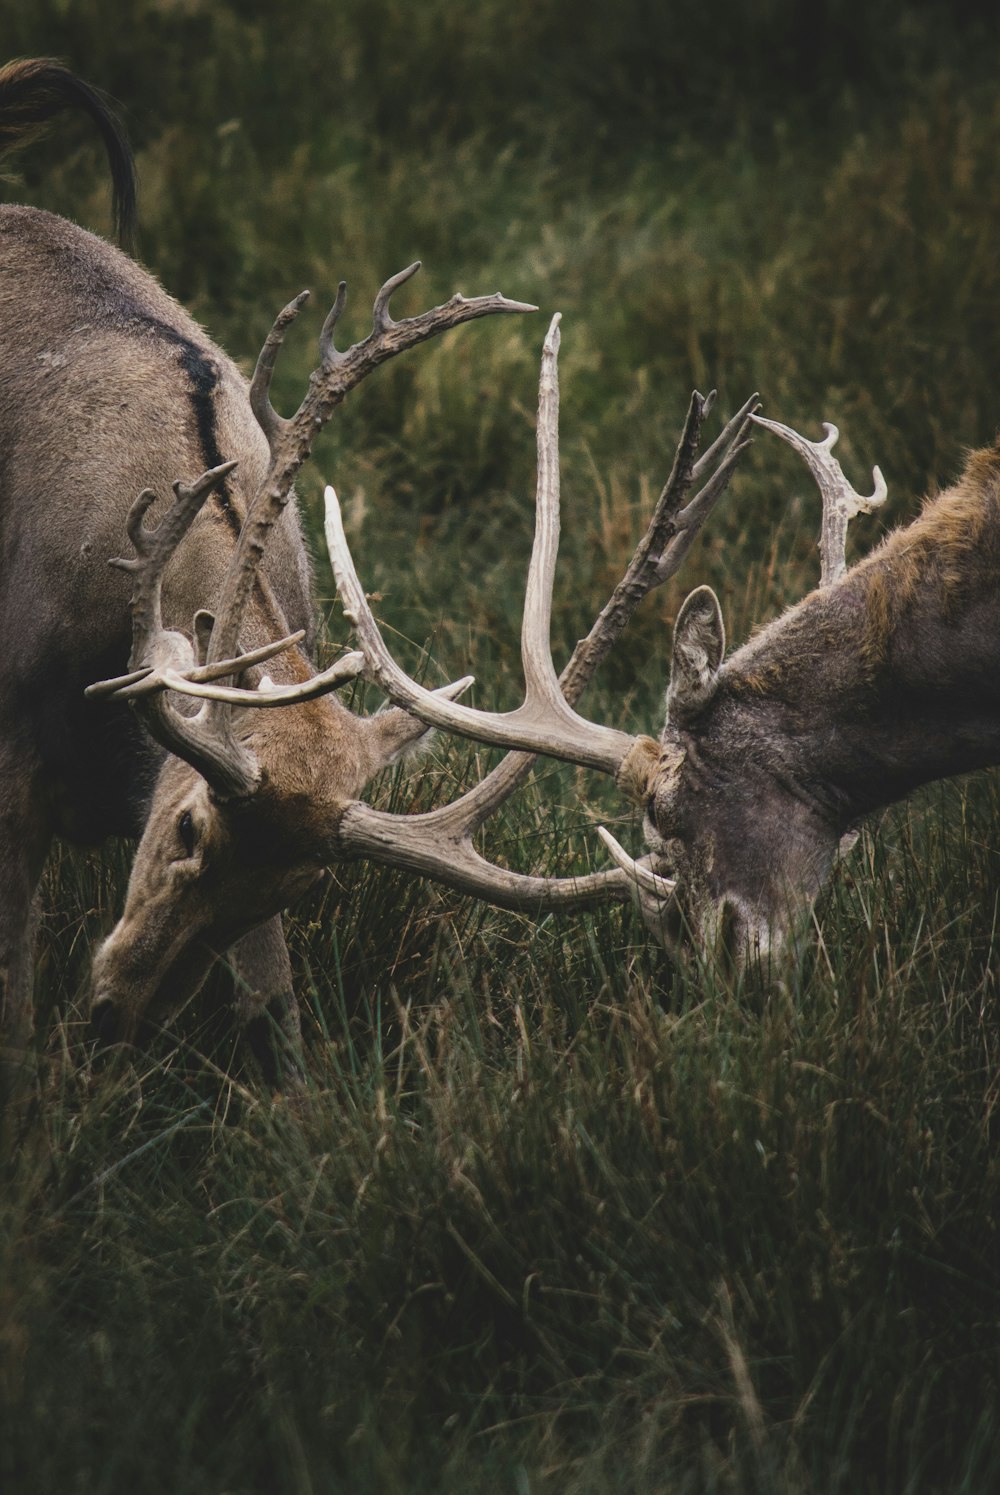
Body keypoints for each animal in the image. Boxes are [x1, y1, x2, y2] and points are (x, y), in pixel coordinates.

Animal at [0, 52, 747, 1082]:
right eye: (189, 827)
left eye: (291, 889)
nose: (114, 1015)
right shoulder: (12, 749)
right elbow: (13, 1002)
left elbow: (275, 1012)